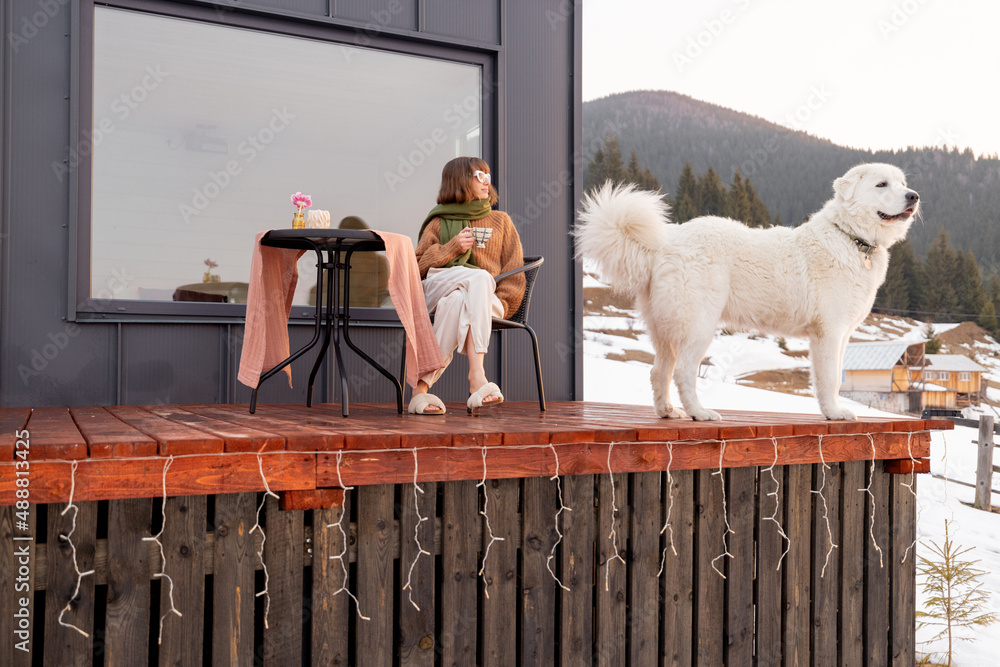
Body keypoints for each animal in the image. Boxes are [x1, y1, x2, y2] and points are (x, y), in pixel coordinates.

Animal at [580, 164, 920, 420]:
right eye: (881, 184)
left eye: (903, 183)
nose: (914, 195)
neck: (852, 238)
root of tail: (665, 243)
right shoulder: (829, 332)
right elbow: (830, 378)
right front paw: (834, 413)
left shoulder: (843, 335)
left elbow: (836, 375)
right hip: (699, 326)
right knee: (684, 372)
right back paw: (700, 413)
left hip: (665, 330)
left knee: (658, 371)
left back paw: (667, 411)